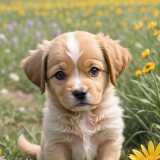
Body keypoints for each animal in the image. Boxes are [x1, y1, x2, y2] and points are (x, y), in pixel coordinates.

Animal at [18, 31, 131, 160]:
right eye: (60, 74)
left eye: (94, 70)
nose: (80, 93)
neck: (83, 116)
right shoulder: (56, 144)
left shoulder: (110, 141)